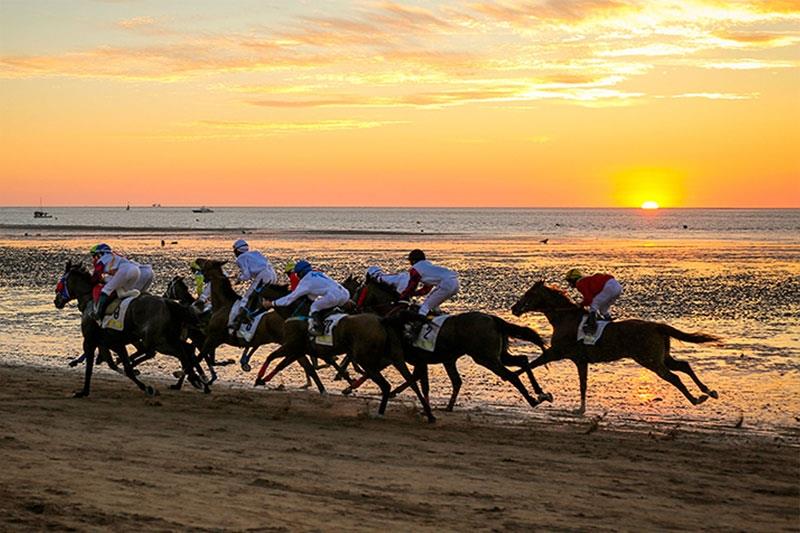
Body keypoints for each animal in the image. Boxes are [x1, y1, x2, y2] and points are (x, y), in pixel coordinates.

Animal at [53, 260, 208, 396]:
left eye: (61, 281)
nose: (56, 301)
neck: (90, 300)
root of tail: (166, 302)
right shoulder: (111, 342)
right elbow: (123, 367)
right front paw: (147, 387)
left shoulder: (91, 340)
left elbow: (91, 368)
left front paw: (83, 392)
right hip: (166, 337)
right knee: (186, 350)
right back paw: (196, 378)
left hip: (158, 341)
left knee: (179, 352)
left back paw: (195, 379)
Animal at [346, 276, 552, 410]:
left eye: (356, 291)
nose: (353, 307)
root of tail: (493, 319)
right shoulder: (422, 359)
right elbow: (417, 379)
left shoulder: (398, 355)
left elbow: (381, 372)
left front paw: (351, 386)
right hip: (497, 355)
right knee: (521, 360)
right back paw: (541, 393)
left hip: (485, 357)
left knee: (511, 376)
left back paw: (533, 400)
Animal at [516, 280, 720, 414]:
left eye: (528, 294)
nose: (513, 308)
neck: (565, 318)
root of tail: (656, 325)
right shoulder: (580, 360)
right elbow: (583, 384)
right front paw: (580, 408)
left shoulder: (556, 353)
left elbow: (530, 365)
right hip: (662, 357)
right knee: (684, 365)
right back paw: (708, 391)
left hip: (650, 360)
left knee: (674, 377)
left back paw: (695, 399)